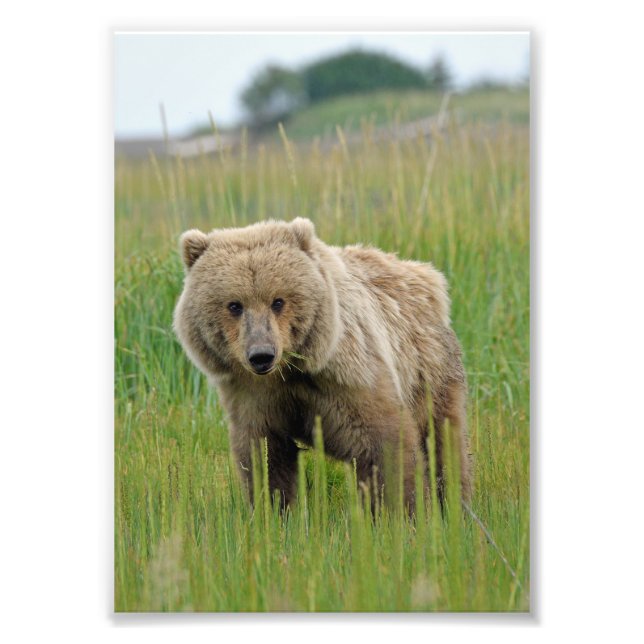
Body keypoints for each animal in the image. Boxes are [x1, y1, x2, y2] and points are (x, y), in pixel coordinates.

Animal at [173, 217, 471, 510]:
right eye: (235, 305)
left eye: (278, 301)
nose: (261, 355)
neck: (291, 369)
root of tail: (426, 275)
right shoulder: (255, 396)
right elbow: (267, 459)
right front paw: (273, 512)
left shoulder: (351, 377)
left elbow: (386, 446)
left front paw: (403, 511)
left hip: (429, 370)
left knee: (444, 440)